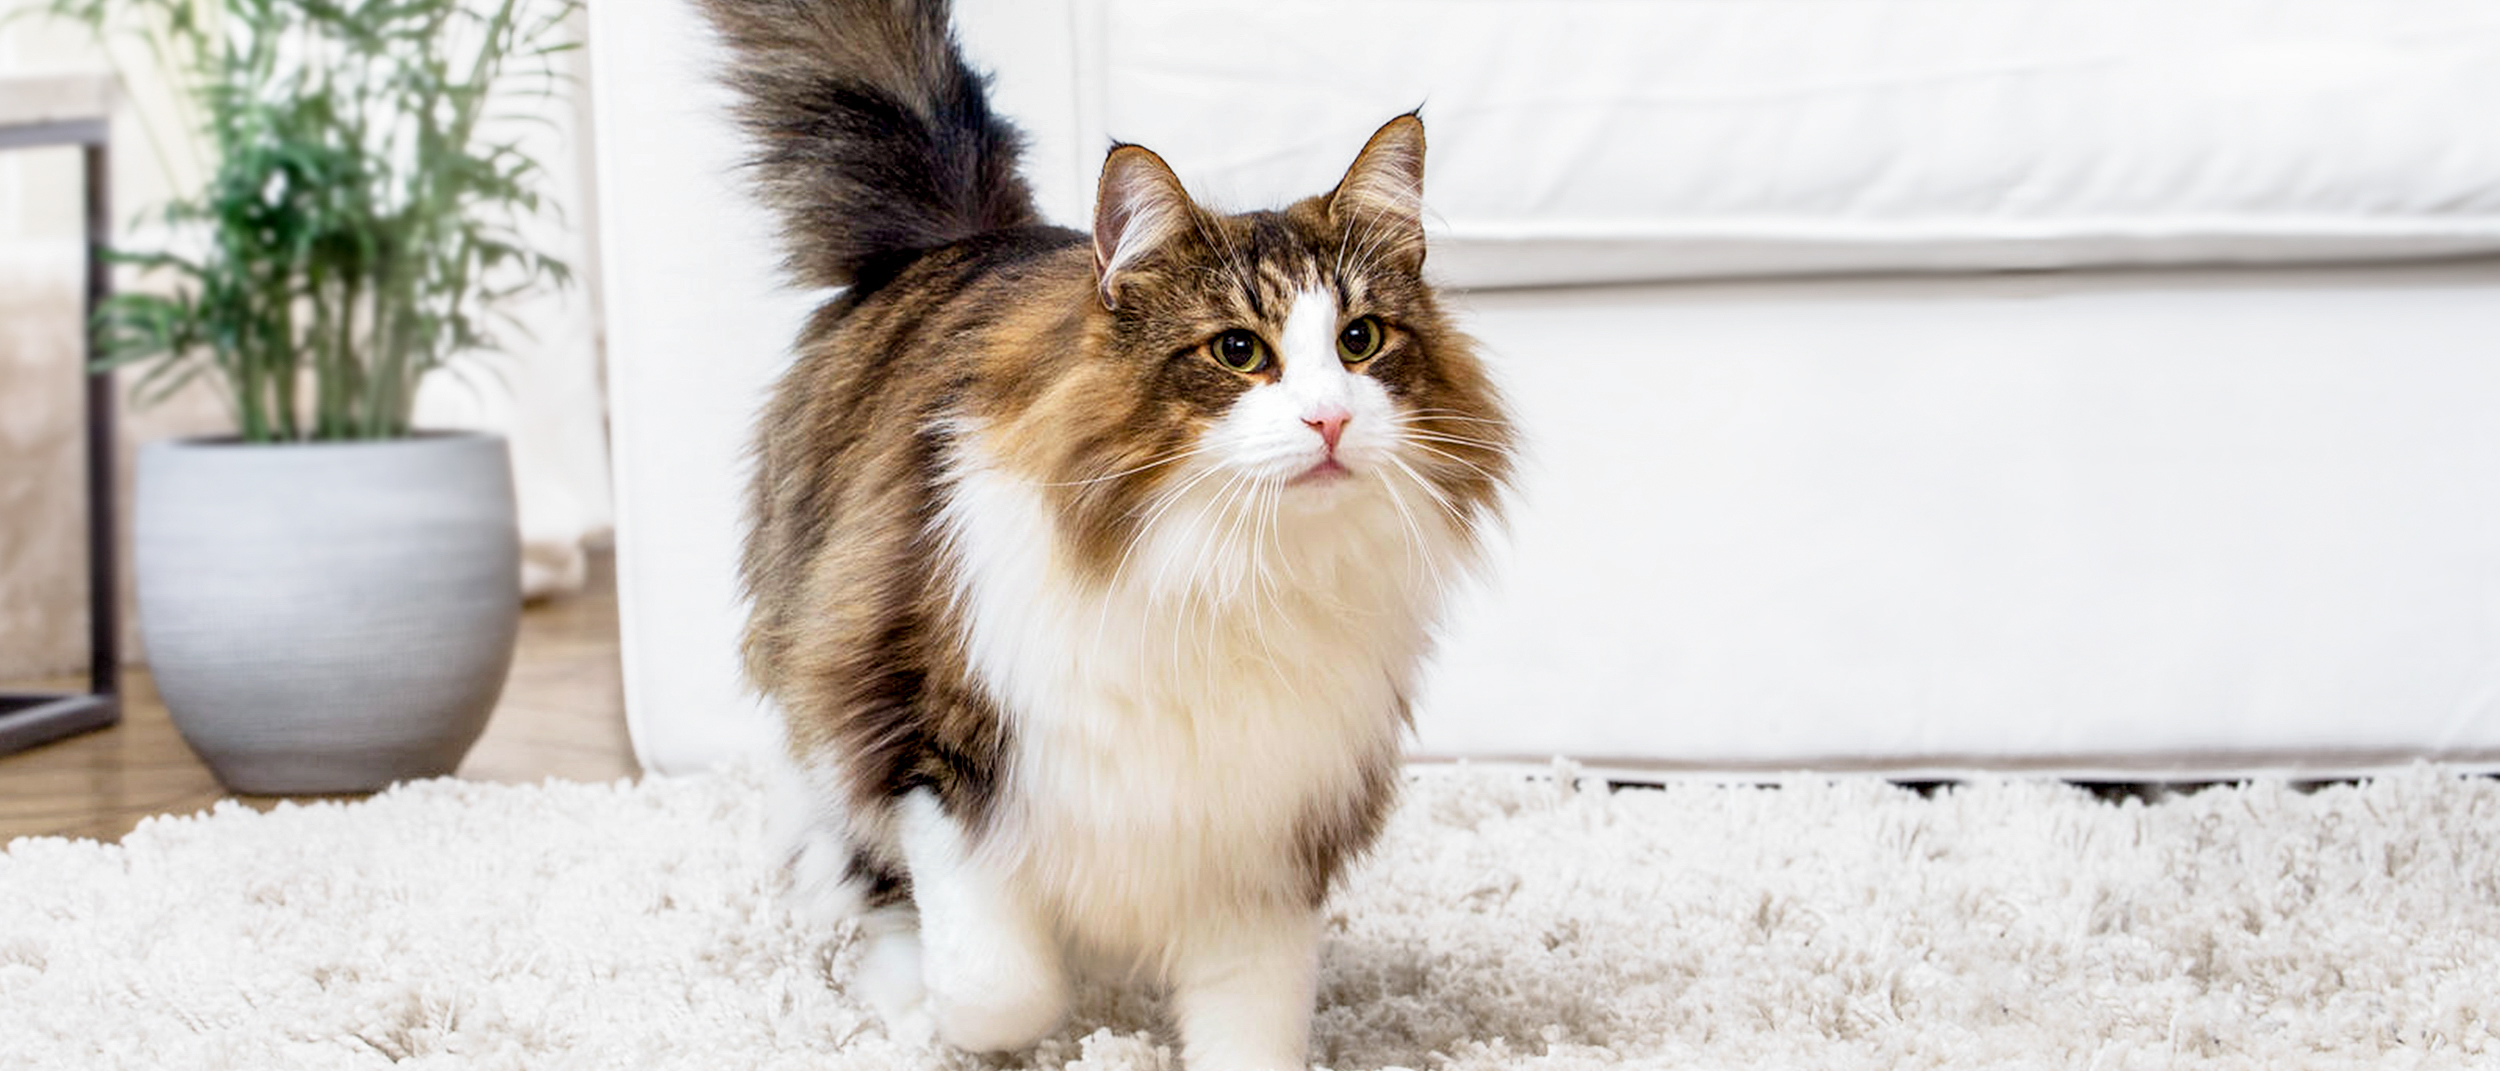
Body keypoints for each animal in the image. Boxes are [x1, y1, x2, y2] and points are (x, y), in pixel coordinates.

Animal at [700, 2, 1520, 1060]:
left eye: (1360, 341)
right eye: (1239, 351)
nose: (1330, 419)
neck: (1232, 575)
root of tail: (980, 238)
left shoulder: (1267, 834)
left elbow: (1251, 1023)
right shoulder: (937, 744)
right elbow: (1002, 986)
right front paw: (932, 1011)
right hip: (823, 666)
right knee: (843, 851)